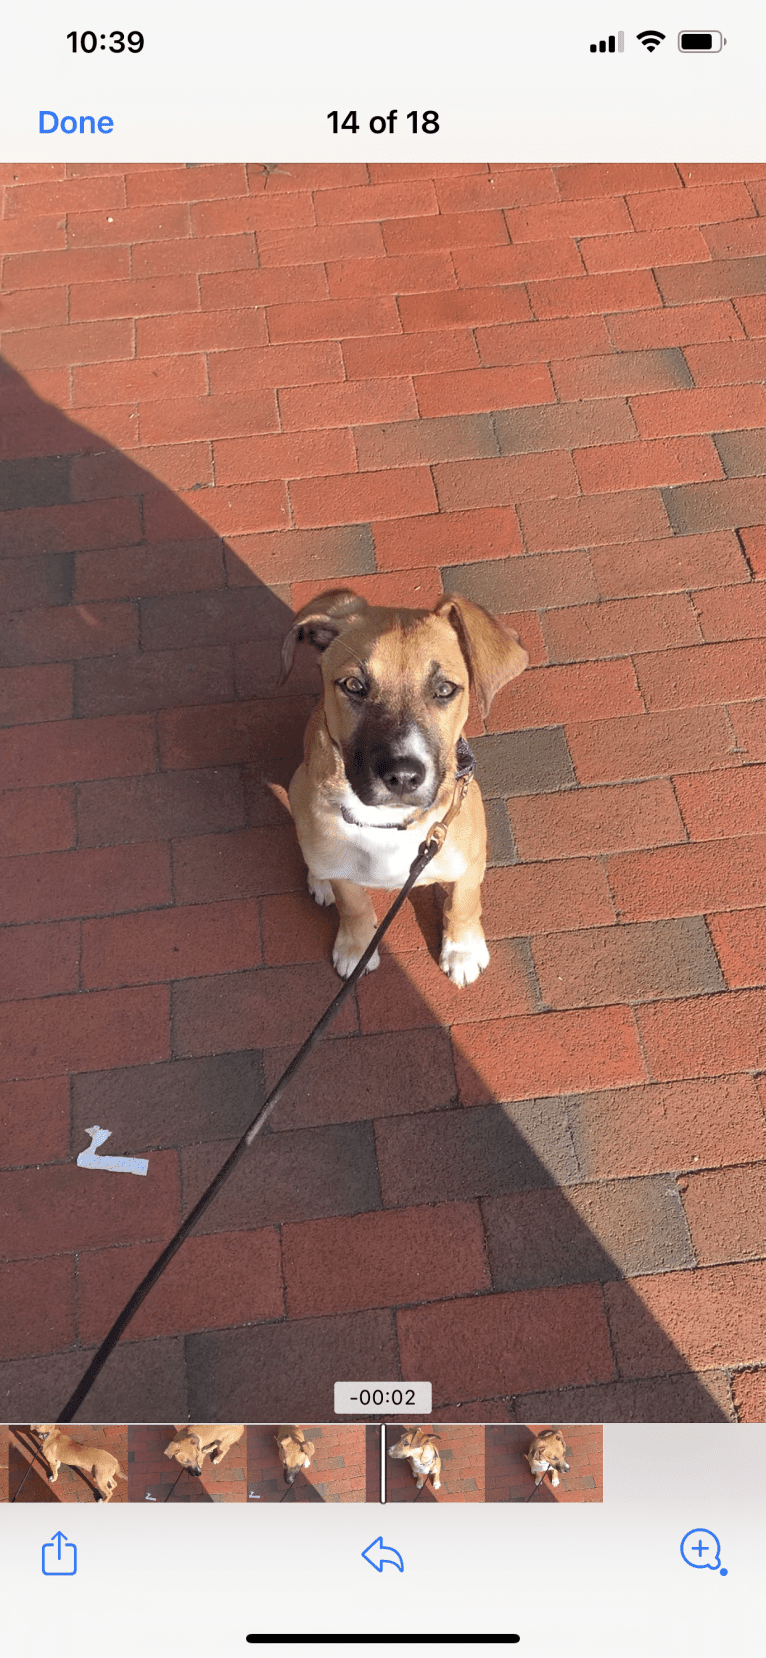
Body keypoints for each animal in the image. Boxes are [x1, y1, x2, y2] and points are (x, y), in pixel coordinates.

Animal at [280, 590, 527, 981]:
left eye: (445, 689)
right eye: (354, 685)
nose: (403, 776)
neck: (388, 824)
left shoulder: (471, 858)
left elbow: (464, 902)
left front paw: (462, 949)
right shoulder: (344, 872)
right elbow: (354, 905)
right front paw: (356, 948)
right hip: (297, 786)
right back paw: (320, 880)